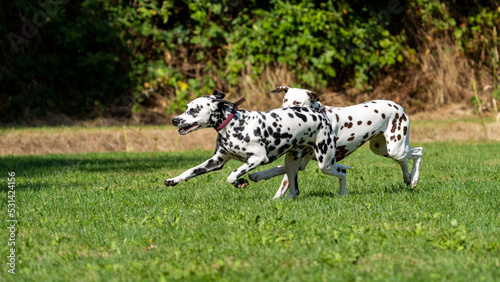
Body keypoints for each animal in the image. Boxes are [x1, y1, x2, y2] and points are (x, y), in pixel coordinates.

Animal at [164, 90, 352, 198]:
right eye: (186, 107)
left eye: (194, 110)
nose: (174, 120)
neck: (235, 125)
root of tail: (319, 114)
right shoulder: (216, 161)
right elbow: (190, 171)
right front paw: (173, 180)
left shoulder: (257, 159)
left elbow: (231, 175)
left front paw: (239, 182)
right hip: (292, 162)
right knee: (293, 190)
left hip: (324, 163)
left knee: (342, 173)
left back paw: (343, 195)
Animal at [249, 86, 422, 198]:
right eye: (284, 100)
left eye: (297, 102)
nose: (282, 113)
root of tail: (398, 106)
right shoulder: (297, 159)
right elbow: (280, 174)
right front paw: (260, 178)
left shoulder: (303, 161)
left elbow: (283, 175)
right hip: (382, 149)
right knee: (404, 160)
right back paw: (407, 178)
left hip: (395, 148)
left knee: (418, 152)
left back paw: (414, 178)